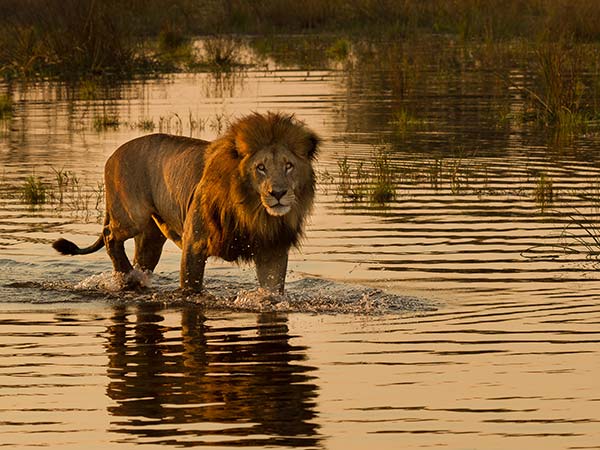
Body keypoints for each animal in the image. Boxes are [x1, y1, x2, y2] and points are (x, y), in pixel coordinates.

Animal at [52, 112, 318, 294]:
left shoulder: (272, 249)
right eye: (261, 168)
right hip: (132, 216)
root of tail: (113, 155)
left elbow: (271, 290)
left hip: (150, 238)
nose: (278, 193)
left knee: (140, 260)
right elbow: (191, 288)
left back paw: (134, 277)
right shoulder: (194, 243)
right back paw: (125, 274)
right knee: (109, 234)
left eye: (289, 165)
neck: (251, 211)